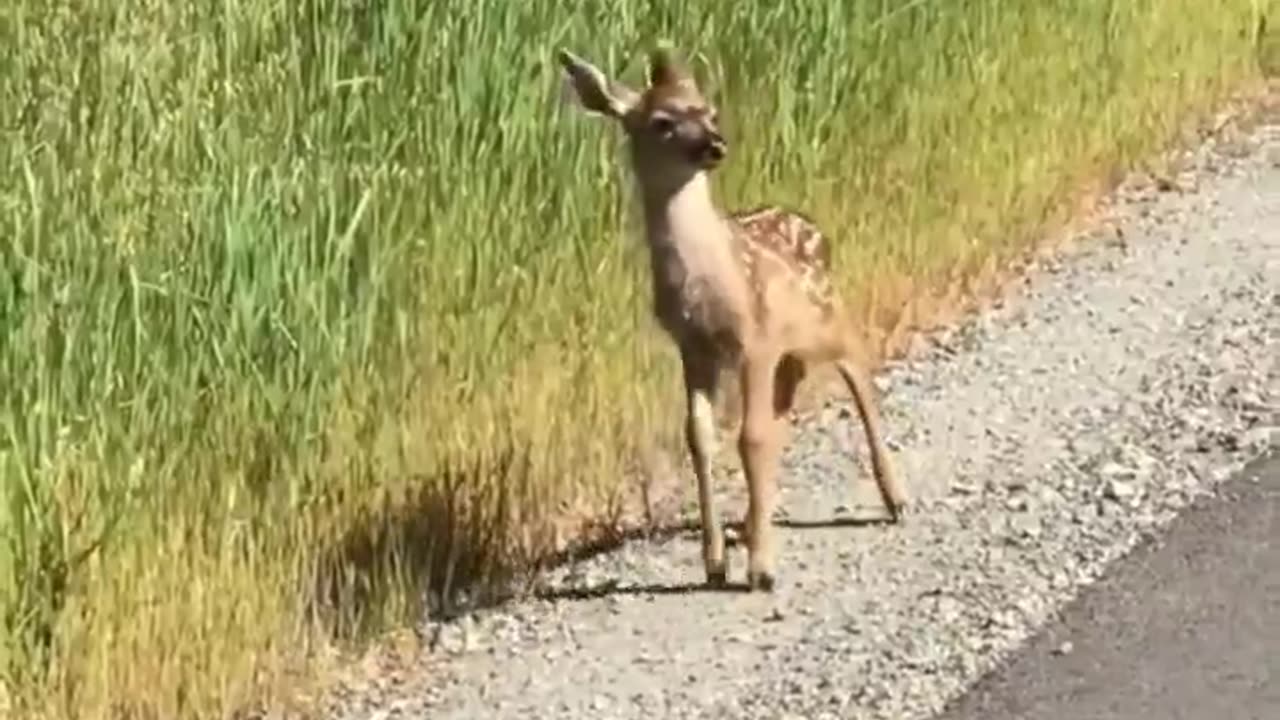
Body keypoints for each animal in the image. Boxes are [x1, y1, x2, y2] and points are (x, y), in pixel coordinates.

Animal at [557, 44, 908, 592]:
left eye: (710, 111)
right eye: (661, 121)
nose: (716, 145)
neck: (706, 284)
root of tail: (813, 227)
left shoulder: (754, 341)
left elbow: (750, 437)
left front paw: (761, 568)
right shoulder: (693, 348)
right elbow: (701, 438)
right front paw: (716, 561)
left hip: (829, 319)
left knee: (859, 378)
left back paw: (895, 498)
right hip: (790, 354)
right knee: (785, 411)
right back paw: (749, 523)